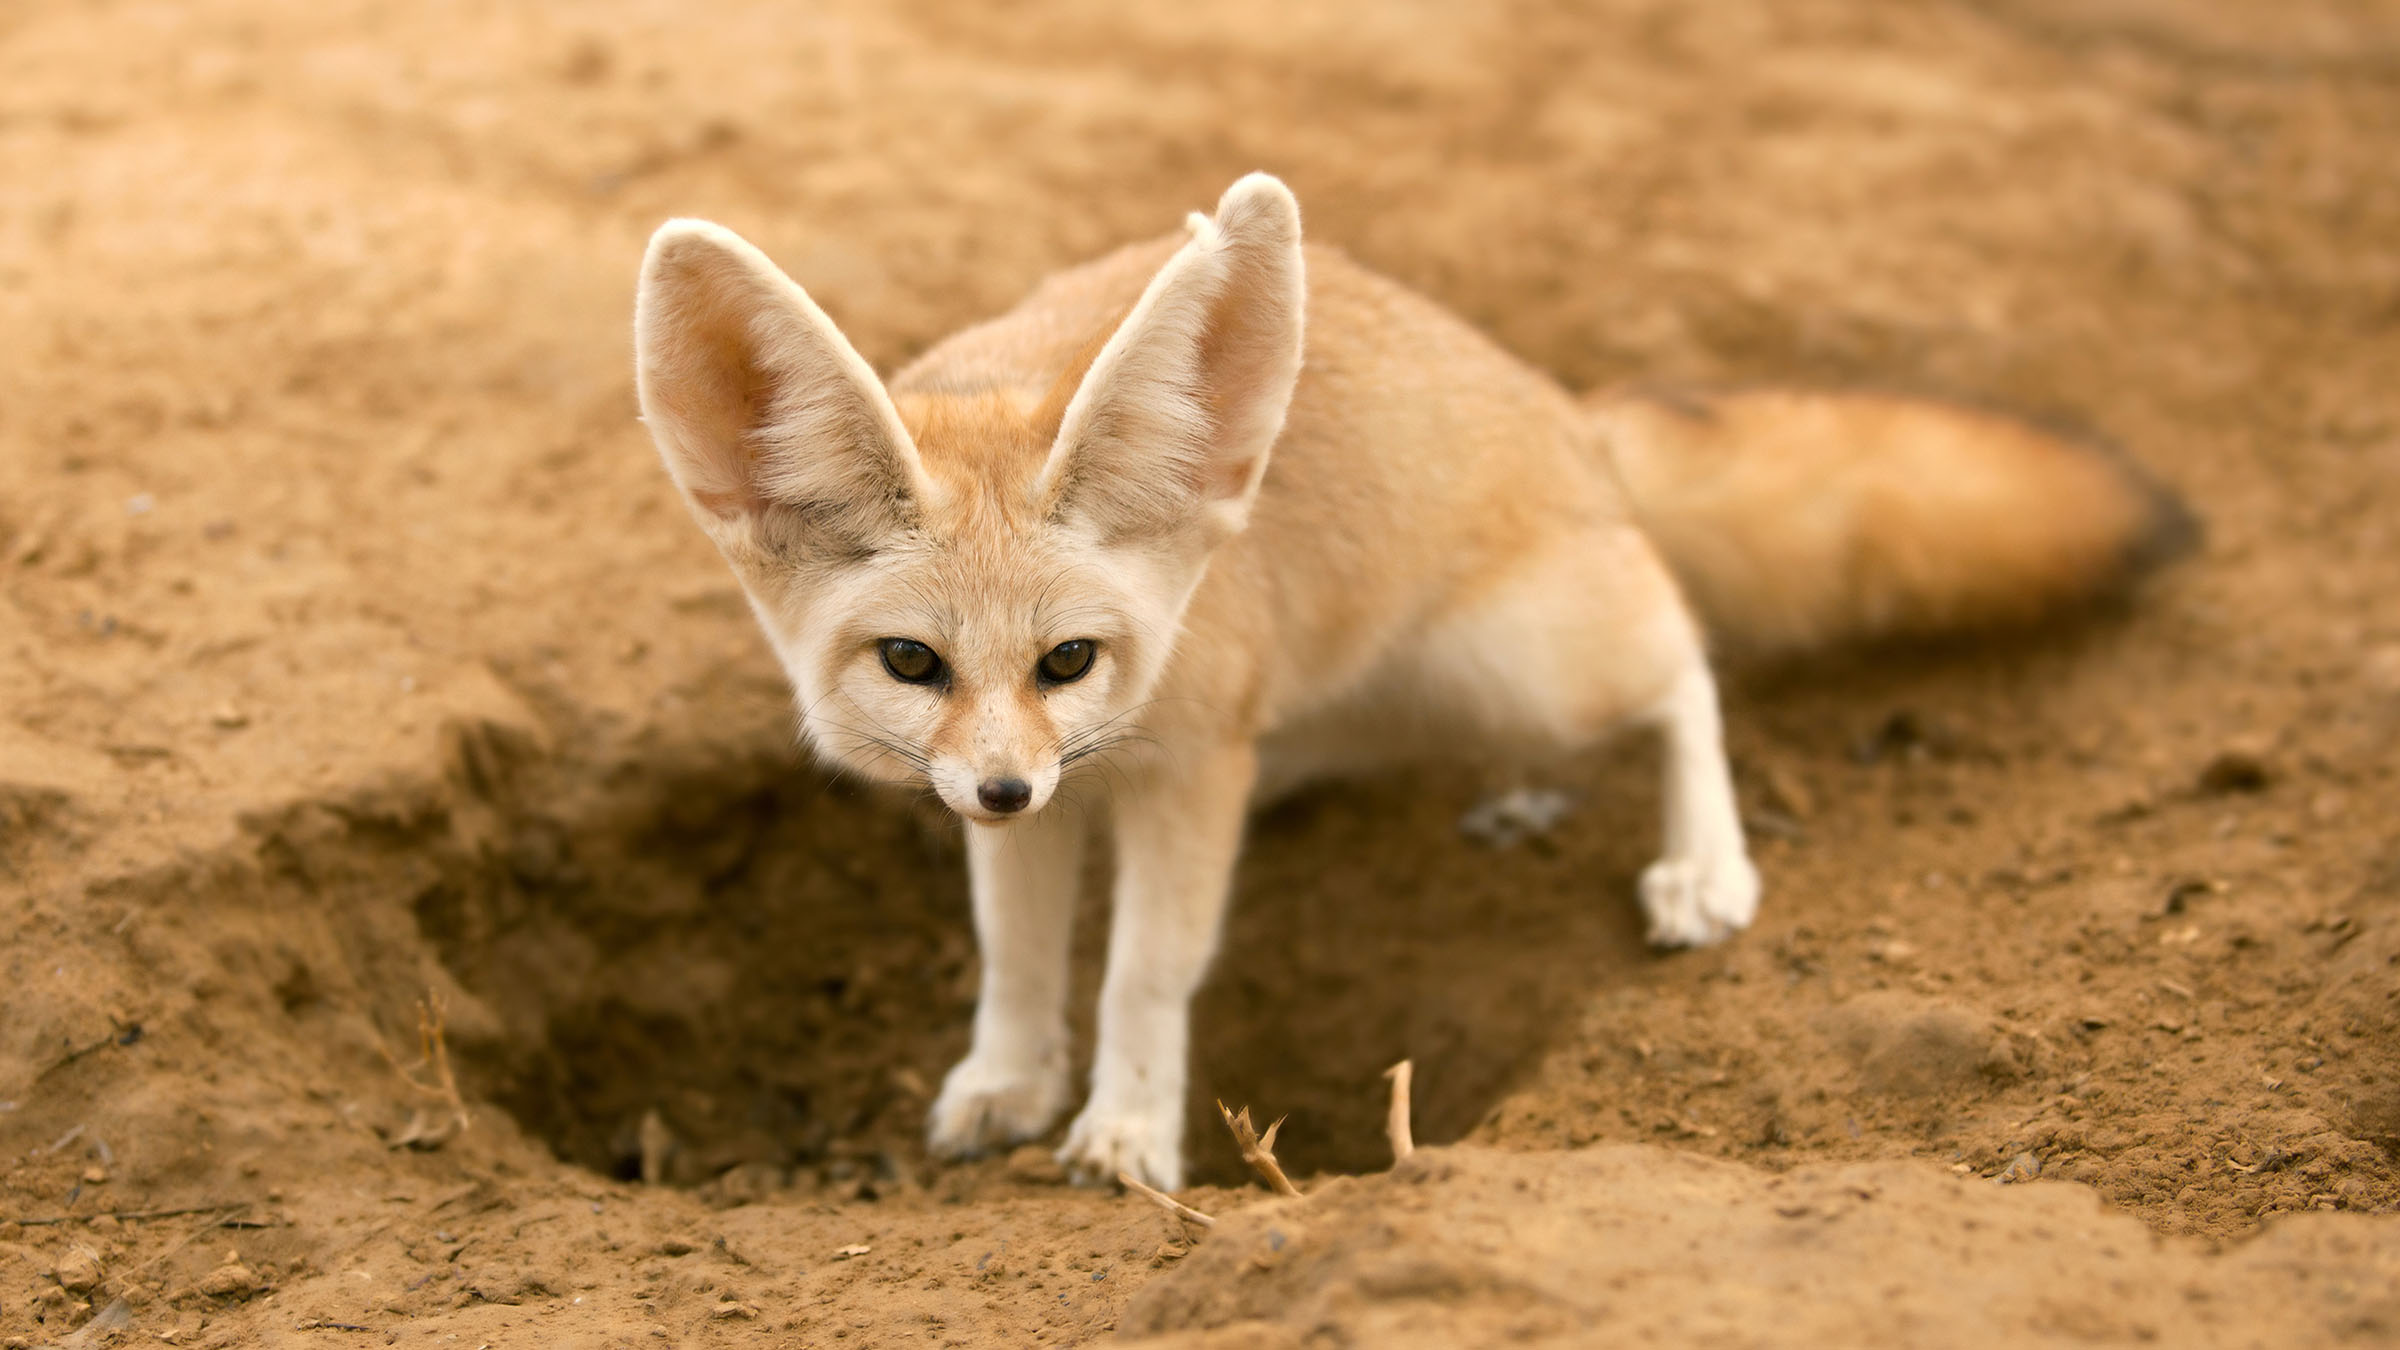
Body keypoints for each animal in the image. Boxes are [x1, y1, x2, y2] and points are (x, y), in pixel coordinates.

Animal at [633, 172, 2198, 1181]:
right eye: (913, 662)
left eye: (1068, 658)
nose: (1008, 788)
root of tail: (1567, 412)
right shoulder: (1047, 797)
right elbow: (1016, 954)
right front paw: (1010, 1081)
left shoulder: (1189, 771)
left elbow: (1146, 968)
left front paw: (1128, 1130)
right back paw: (1517, 796)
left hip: (1531, 658)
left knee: (1683, 654)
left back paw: (1704, 862)